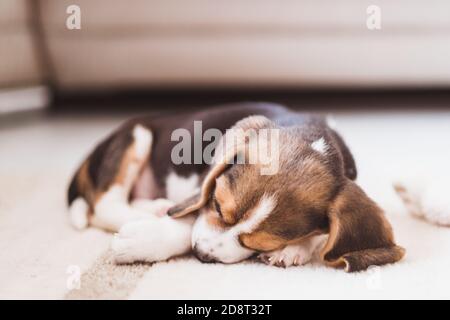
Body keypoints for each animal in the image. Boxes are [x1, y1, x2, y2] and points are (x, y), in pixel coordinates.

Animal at [67, 102, 404, 272]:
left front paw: (295, 248)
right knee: (104, 205)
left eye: (260, 244)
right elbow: (190, 219)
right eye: (217, 205)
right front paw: (145, 240)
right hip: (136, 137)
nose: (201, 255)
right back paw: (152, 212)